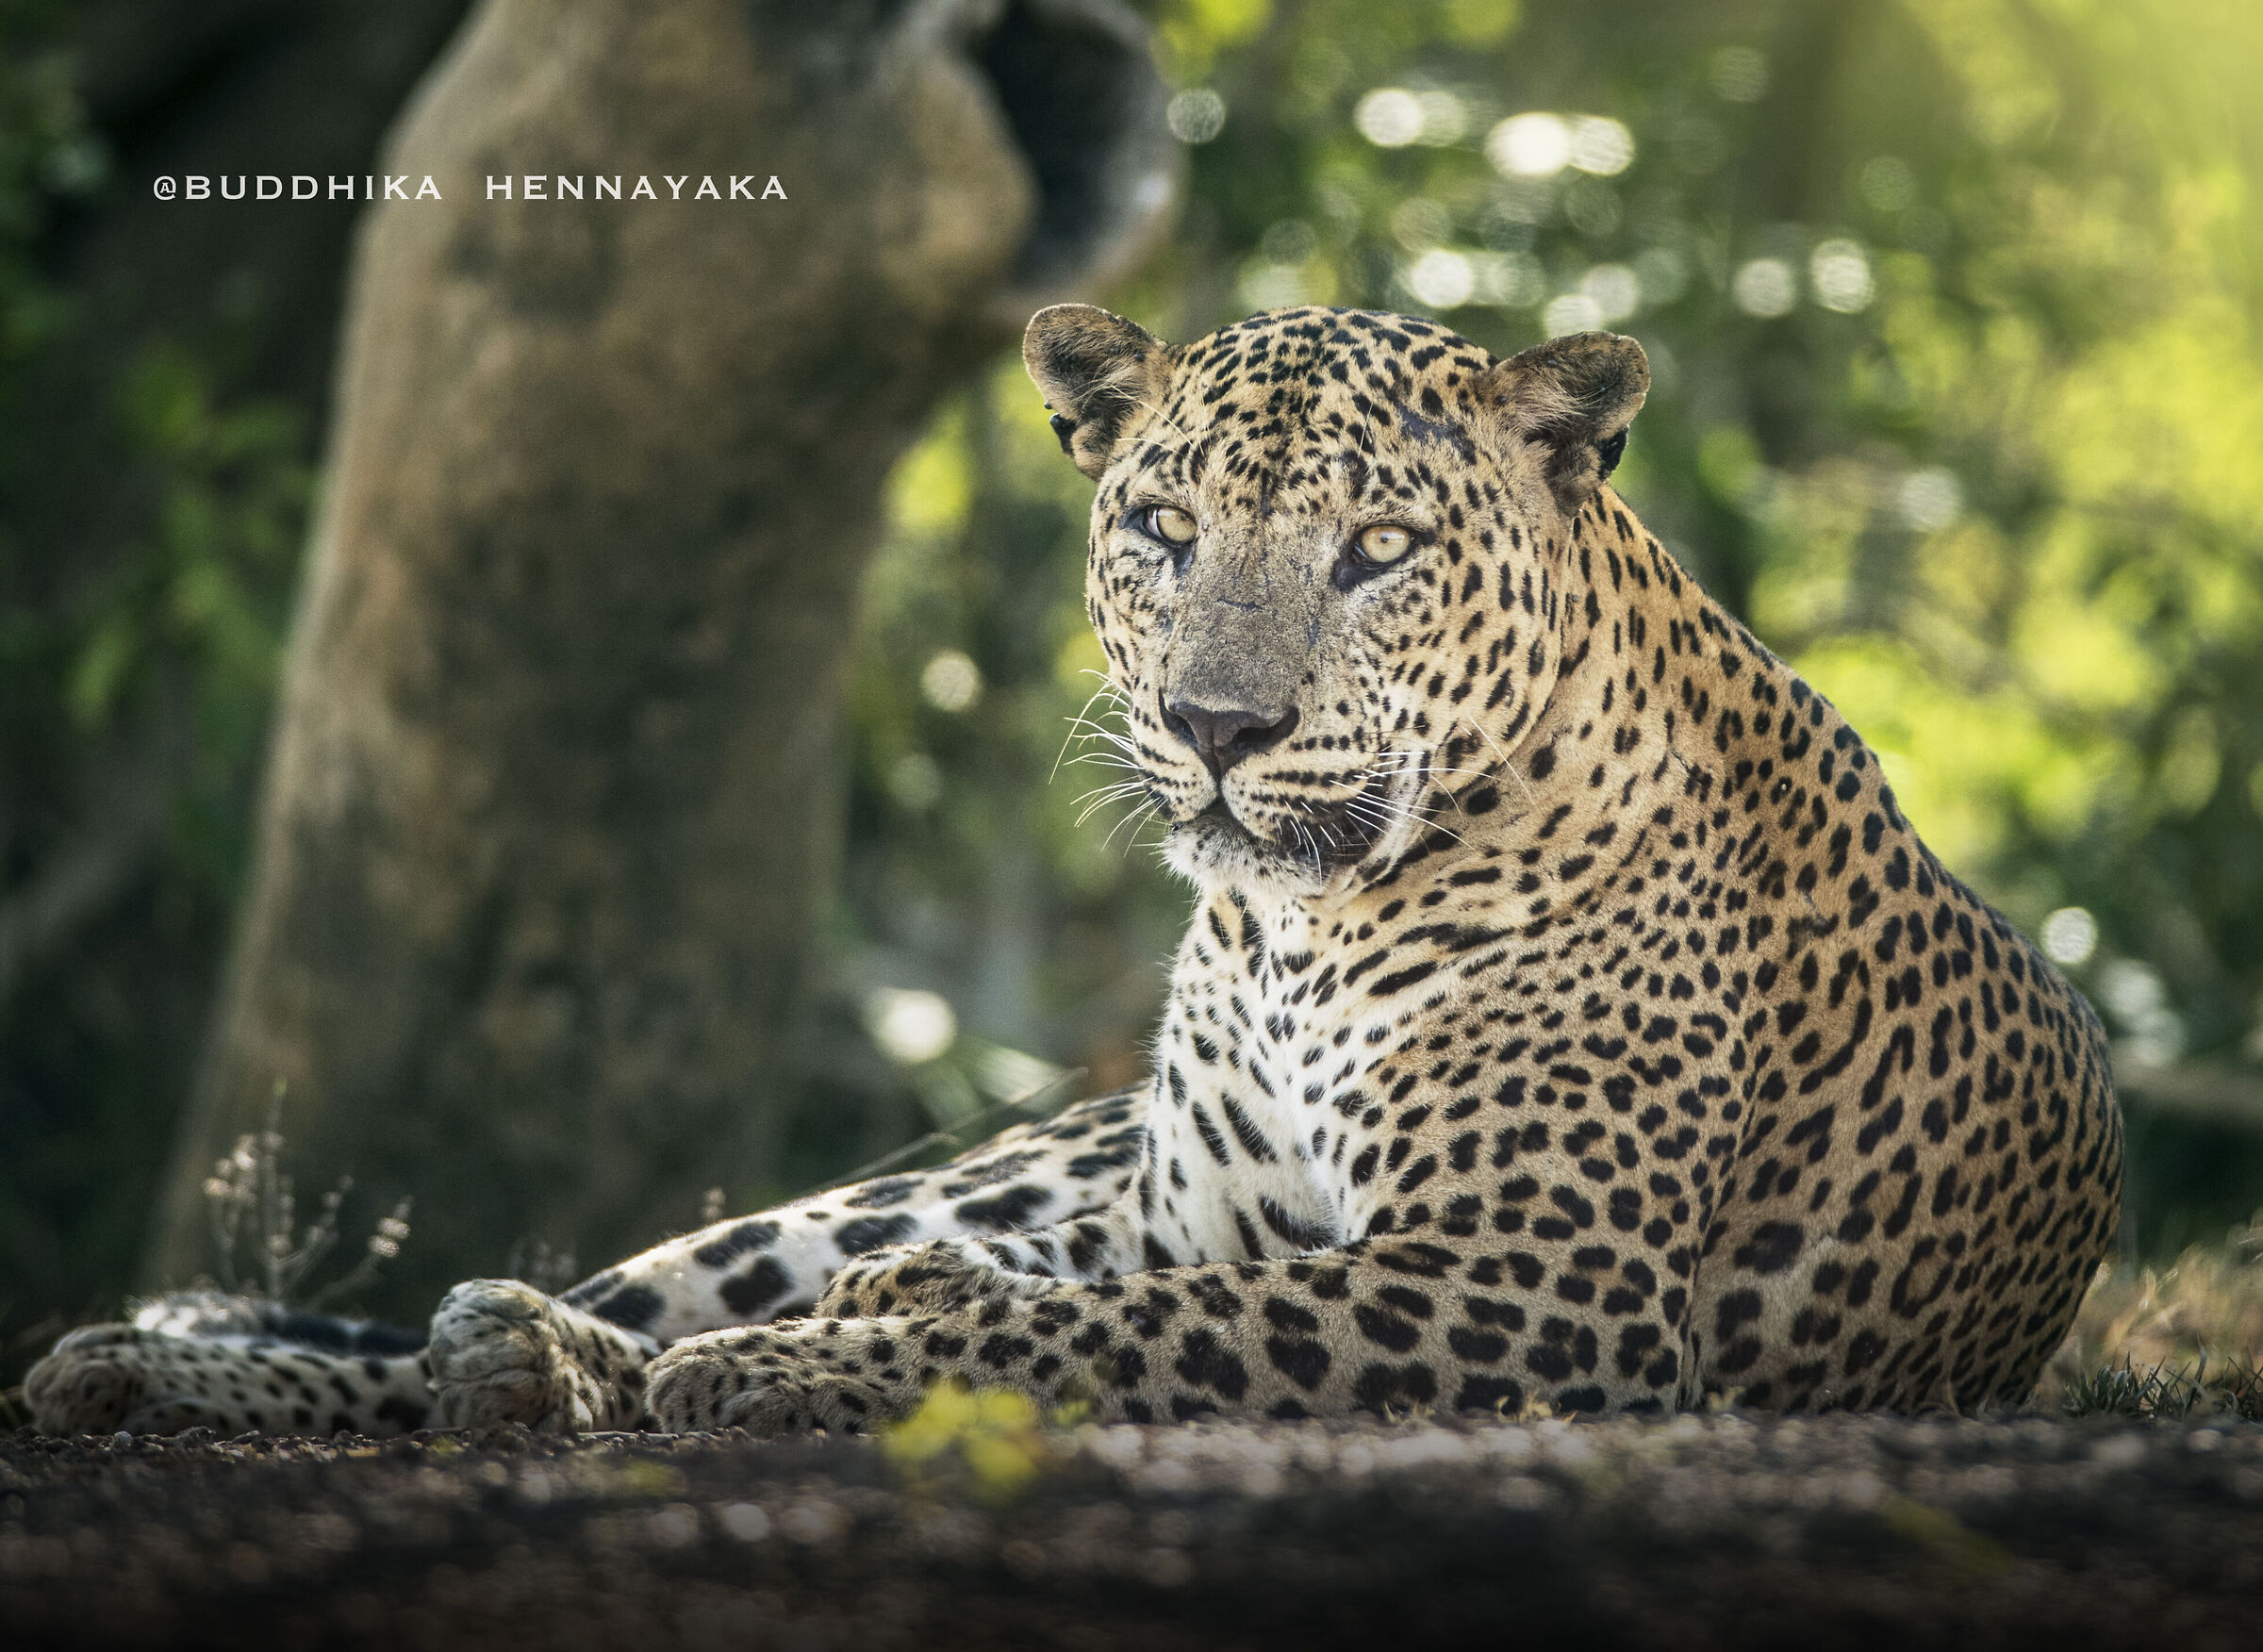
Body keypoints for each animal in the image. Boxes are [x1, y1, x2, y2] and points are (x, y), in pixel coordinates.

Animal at [27, 303, 2121, 1440]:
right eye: (1165, 528)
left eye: (1378, 548)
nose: (1219, 725)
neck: (1292, 930)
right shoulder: (1181, 1218)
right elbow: (1114, 1304)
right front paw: (826, 1348)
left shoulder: (1546, 1279)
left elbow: (1132, 1329)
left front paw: (829, 1366)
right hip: (922, 1179)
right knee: (587, 1302)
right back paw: (210, 1374)